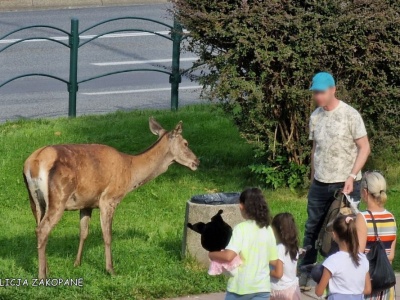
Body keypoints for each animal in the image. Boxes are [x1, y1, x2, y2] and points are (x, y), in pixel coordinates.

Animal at [23, 118, 198, 278]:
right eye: (186, 143)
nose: (197, 161)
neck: (130, 172)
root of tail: (34, 163)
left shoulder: (86, 203)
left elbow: (83, 232)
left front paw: (77, 263)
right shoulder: (109, 199)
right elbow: (107, 235)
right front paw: (111, 269)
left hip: (35, 201)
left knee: (38, 228)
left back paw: (46, 269)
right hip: (59, 196)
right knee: (43, 229)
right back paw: (42, 276)